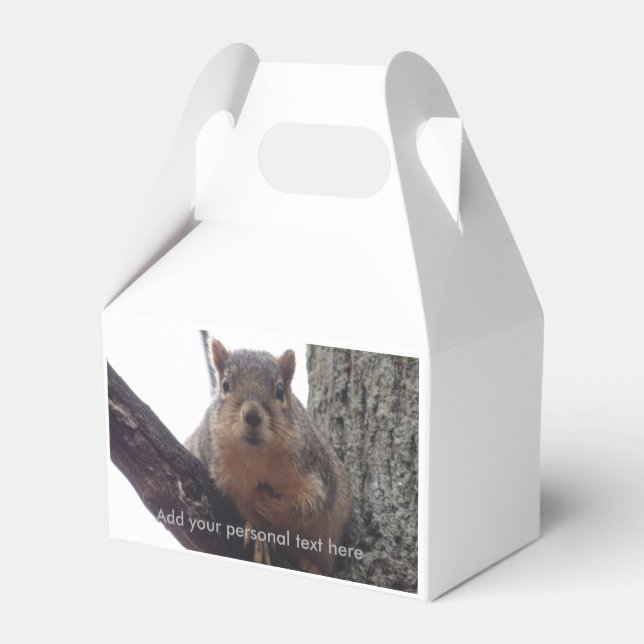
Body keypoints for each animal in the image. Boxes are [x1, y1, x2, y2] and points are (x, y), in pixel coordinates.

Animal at [185, 338, 352, 574]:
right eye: (225, 384)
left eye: (280, 390)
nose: (253, 415)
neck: (257, 456)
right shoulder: (224, 477)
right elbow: (242, 506)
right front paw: (259, 532)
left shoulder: (315, 469)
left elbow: (310, 503)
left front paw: (271, 505)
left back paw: (310, 564)